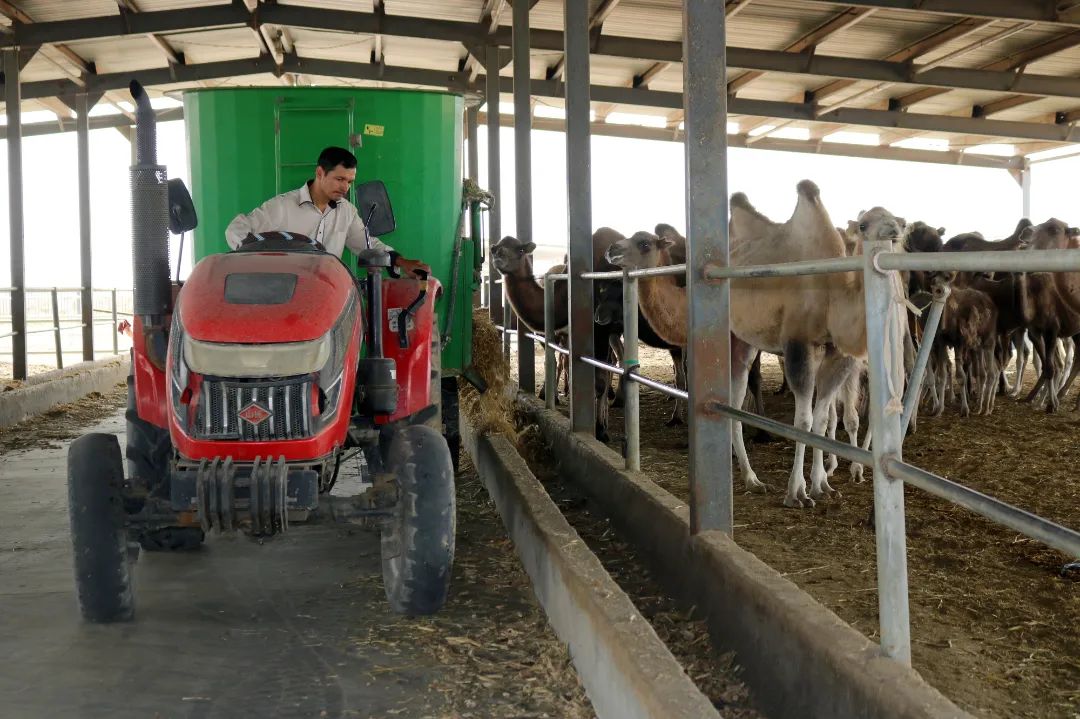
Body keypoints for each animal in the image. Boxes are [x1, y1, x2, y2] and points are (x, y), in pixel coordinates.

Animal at [604, 182, 907, 507]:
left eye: (644, 242)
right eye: (862, 224)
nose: (612, 249)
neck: (833, 295)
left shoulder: (837, 352)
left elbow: (822, 418)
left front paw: (821, 485)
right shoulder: (798, 342)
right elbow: (803, 421)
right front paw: (797, 492)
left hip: (743, 342)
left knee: (737, 401)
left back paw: (752, 476)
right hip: (737, 339)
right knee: (735, 401)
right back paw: (750, 476)